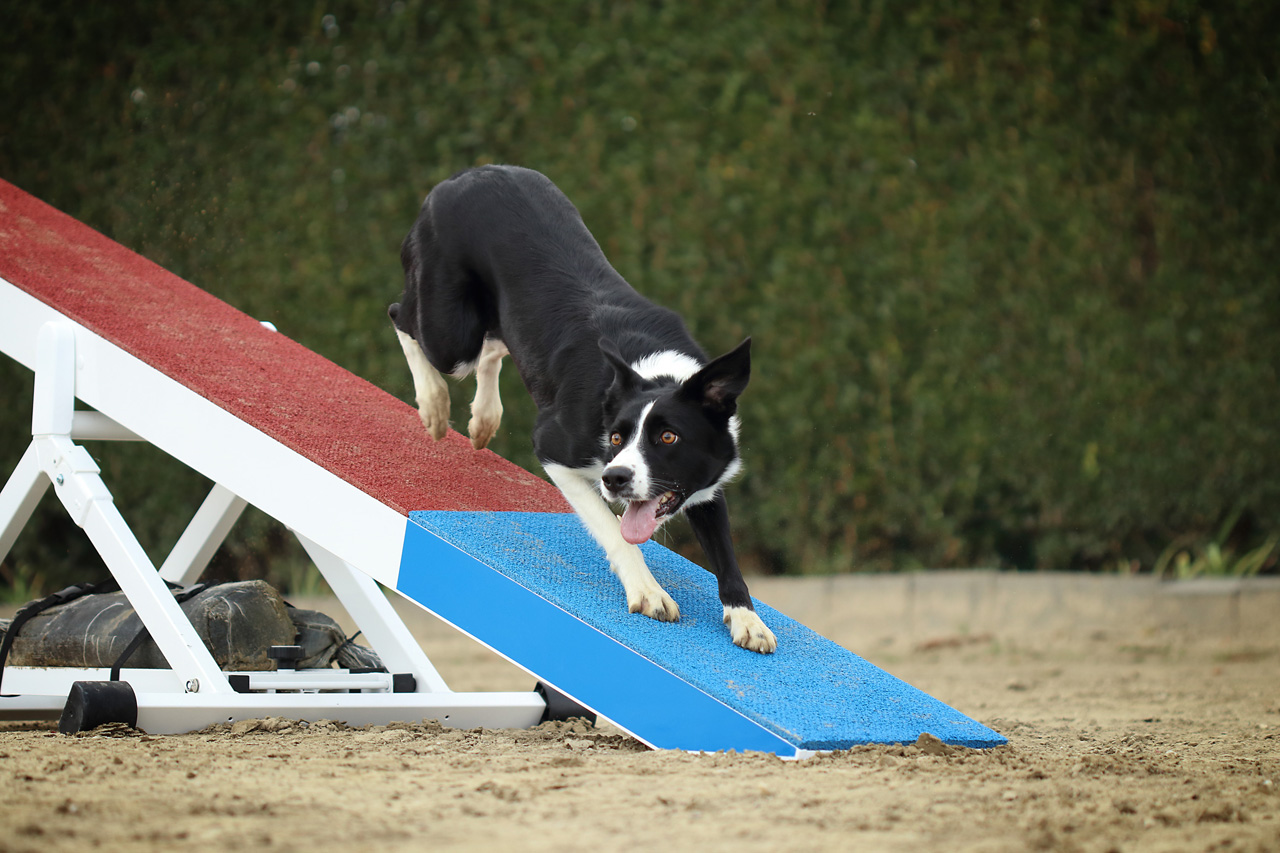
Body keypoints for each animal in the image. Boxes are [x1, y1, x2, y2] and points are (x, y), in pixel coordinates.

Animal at [389, 165, 776, 653]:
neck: (658, 373)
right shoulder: (554, 448)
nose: (616, 478)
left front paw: (747, 618)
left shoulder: (703, 485)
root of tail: (469, 173)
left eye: (668, 436)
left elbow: (725, 555)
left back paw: (484, 419)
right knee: (402, 316)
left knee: (493, 344)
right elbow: (614, 530)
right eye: (616, 437)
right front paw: (647, 590)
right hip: (451, 333)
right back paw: (434, 404)